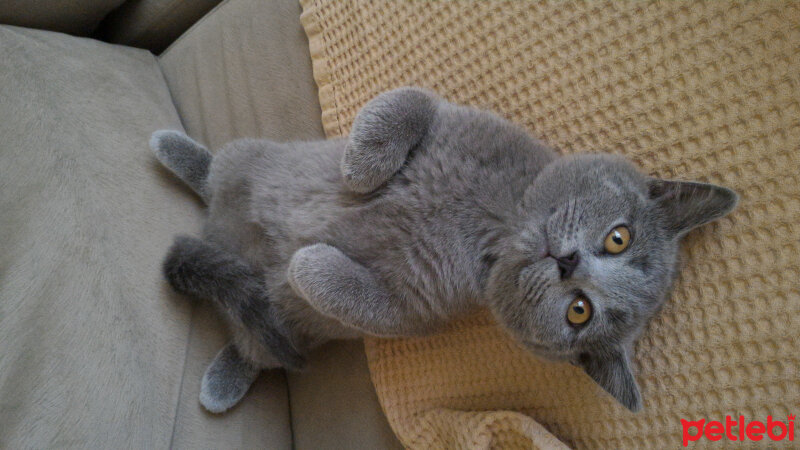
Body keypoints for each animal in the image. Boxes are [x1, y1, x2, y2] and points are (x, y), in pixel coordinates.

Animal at [150, 86, 736, 414]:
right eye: (620, 237)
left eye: (579, 311)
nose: (569, 263)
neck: (501, 223)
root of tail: (215, 229)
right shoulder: (453, 114)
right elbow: (406, 100)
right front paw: (360, 168)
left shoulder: (416, 307)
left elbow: (355, 297)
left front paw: (303, 262)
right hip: (248, 158)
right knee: (217, 171)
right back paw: (175, 149)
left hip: (281, 334)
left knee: (256, 347)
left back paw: (220, 384)